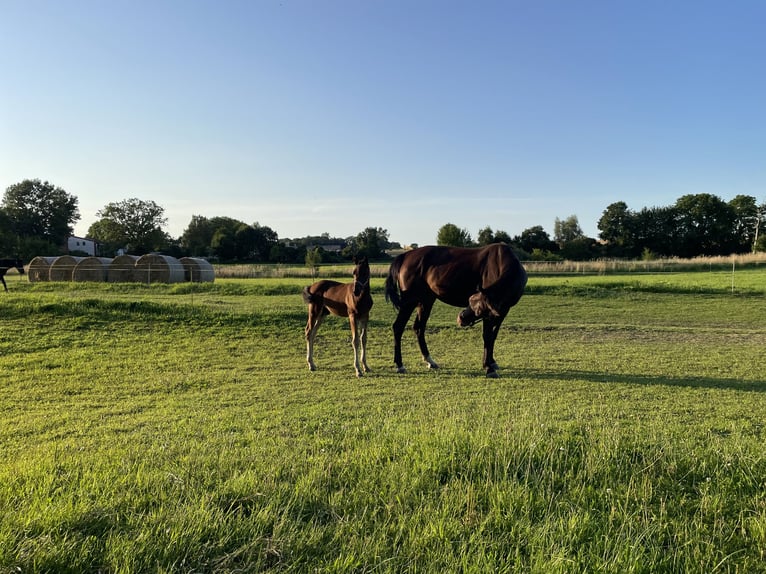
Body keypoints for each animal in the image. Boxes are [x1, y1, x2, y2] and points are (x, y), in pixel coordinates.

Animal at [384, 245, 528, 380]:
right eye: (470, 301)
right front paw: (488, 367)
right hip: (410, 301)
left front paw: (491, 362)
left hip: (426, 301)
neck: (499, 262)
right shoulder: (490, 315)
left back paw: (430, 360)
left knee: (419, 327)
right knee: (398, 327)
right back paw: (400, 365)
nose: (461, 318)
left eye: (478, 307)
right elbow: (487, 336)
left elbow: (493, 336)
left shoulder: (502, 311)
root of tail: (406, 255)